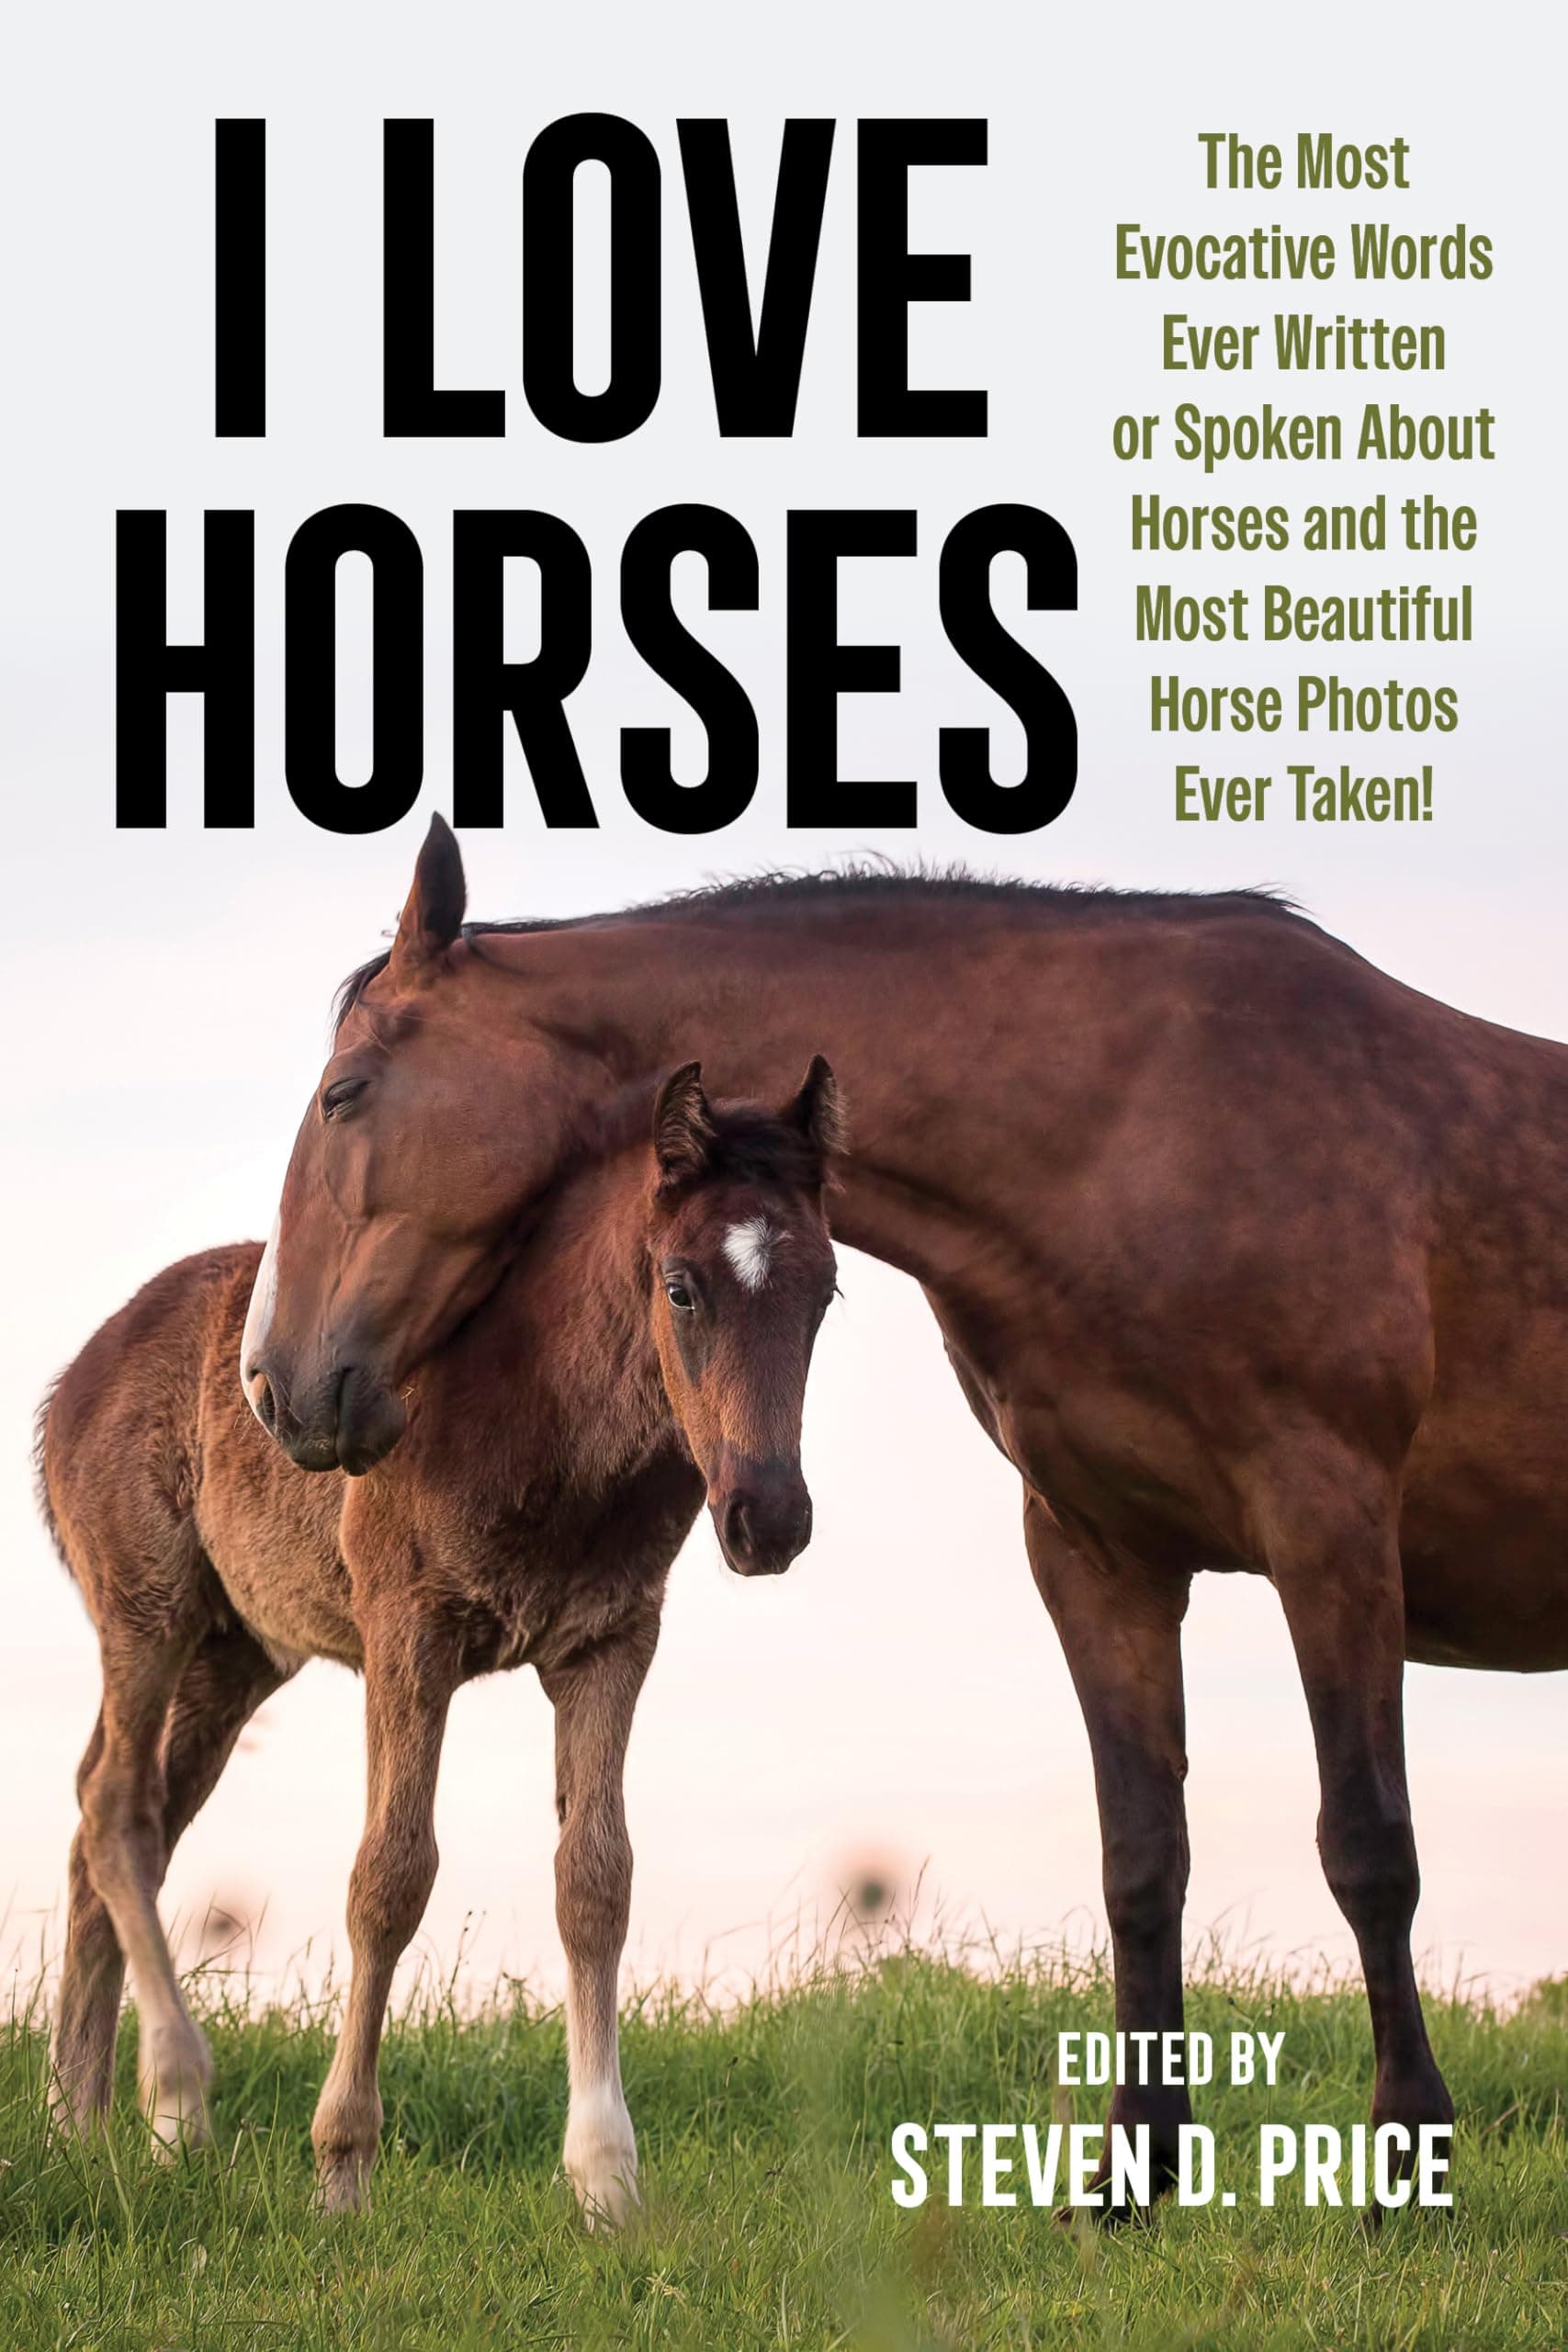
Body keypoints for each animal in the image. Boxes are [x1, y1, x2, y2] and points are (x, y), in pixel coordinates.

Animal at [38, 1057, 843, 2221]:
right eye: (682, 1285)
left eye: (824, 1292)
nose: (769, 1519)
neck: (542, 1408)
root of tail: (71, 1383)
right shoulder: (406, 1629)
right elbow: (390, 1876)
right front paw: (342, 2168)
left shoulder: (610, 1640)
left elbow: (596, 1880)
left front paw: (608, 2183)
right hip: (148, 1610)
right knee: (115, 1809)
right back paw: (176, 2099)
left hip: (236, 1656)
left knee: (114, 1820)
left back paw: (80, 2119)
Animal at [245, 817, 1568, 2209]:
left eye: (344, 1094)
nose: (274, 1382)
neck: (1144, 1125)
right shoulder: (1097, 1556)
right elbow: (1141, 1855)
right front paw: (1130, 2174)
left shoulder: (1332, 1530)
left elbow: (1368, 1847)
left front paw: (1404, 2160)